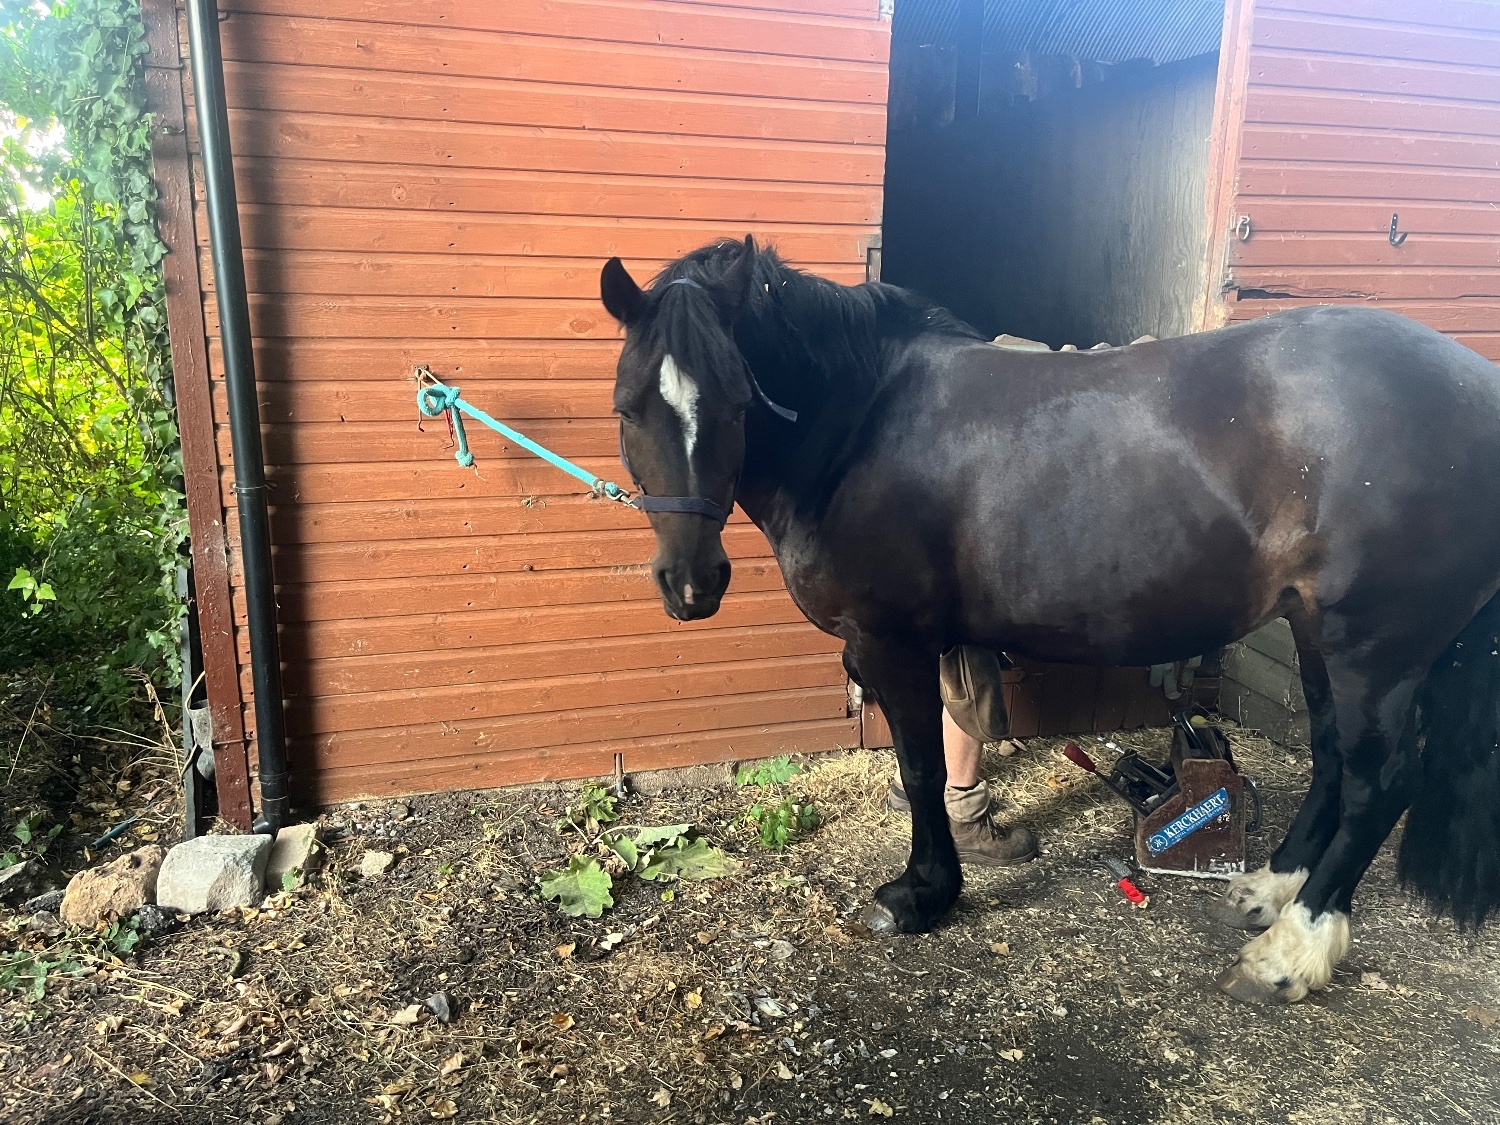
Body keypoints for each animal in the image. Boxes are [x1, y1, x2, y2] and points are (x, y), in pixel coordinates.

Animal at [599, 235, 1500, 1004]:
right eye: (628, 406)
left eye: (737, 400)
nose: (692, 581)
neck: (863, 423)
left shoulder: (891, 641)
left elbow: (921, 768)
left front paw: (922, 893)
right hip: (1317, 633)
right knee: (1332, 760)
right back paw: (1268, 891)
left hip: (1373, 648)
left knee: (1381, 781)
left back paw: (1292, 951)